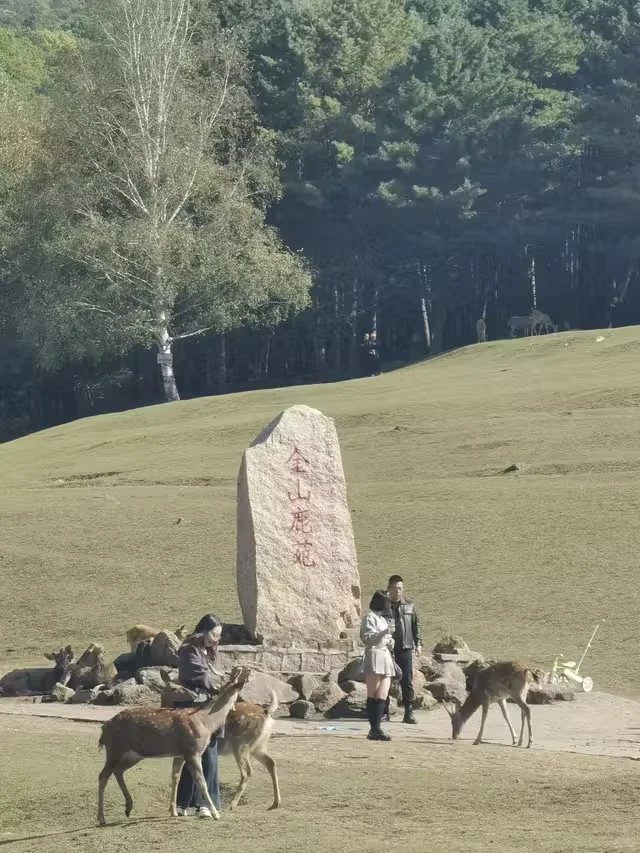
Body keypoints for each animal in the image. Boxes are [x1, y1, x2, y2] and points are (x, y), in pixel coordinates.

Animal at [97, 665, 251, 826]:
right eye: (237, 692)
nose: (236, 706)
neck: (207, 722)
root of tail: (104, 727)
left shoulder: (180, 754)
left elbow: (175, 778)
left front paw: (174, 811)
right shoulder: (193, 751)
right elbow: (202, 782)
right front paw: (215, 814)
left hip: (133, 754)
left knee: (118, 771)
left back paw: (128, 807)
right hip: (114, 748)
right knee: (103, 776)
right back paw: (102, 818)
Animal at [160, 670, 281, 812]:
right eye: (174, 687)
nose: (191, 694)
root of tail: (267, 712)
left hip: (241, 744)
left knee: (248, 771)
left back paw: (232, 804)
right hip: (258, 745)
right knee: (271, 762)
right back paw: (275, 803)